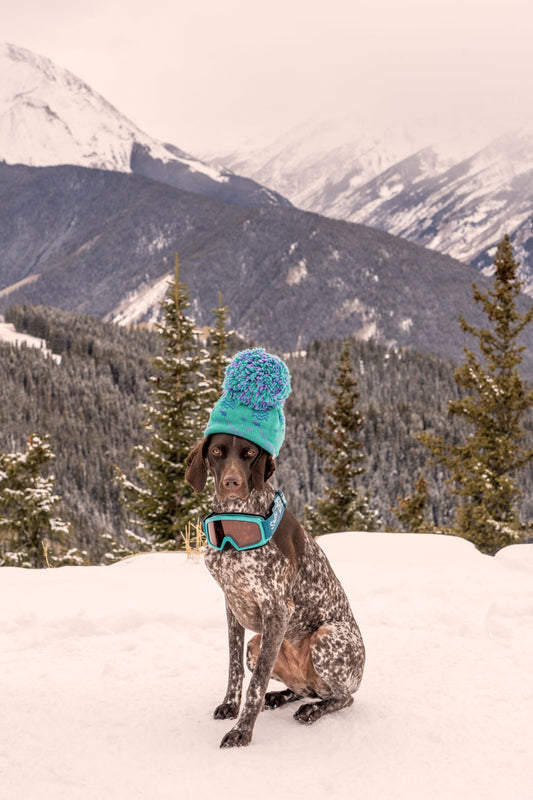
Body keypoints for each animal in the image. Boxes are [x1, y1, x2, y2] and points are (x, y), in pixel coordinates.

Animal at [185, 434, 364, 748]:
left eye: (250, 453)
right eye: (217, 451)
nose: (232, 482)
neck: (237, 521)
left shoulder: (278, 608)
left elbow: (256, 683)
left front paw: (242, 731)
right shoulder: (231, 603)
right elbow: (234, 667)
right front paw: (230, 705)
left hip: (327, 636)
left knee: (342, 697)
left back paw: (313, 710)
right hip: (257, 644)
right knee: (303, 689)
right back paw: (281, 696)